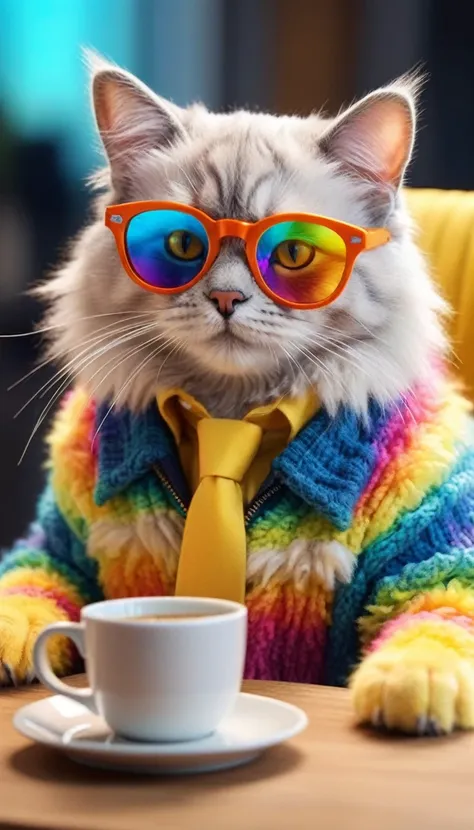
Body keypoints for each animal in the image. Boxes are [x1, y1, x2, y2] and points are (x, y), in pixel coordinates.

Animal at [0, 55, 474, 736]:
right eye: (181, 246)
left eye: (294, 253)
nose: (226, 298)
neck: (231, 411)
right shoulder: (56, 549)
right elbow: (23, 595)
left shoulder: (432, 555)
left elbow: (434, 629)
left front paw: (411, 692)